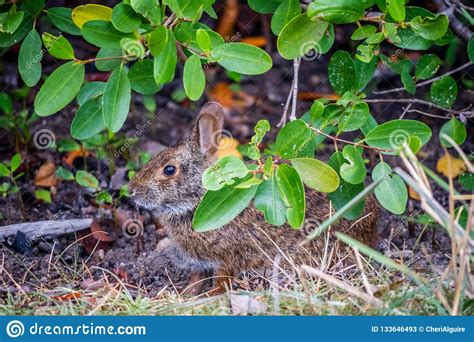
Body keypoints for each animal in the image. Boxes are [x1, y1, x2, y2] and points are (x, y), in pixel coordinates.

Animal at [128, 101, 380, 294]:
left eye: (169, 170)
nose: (131, 190)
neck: (199, 199)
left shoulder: (229, 258)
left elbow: (223, 282)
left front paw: (206, 296)